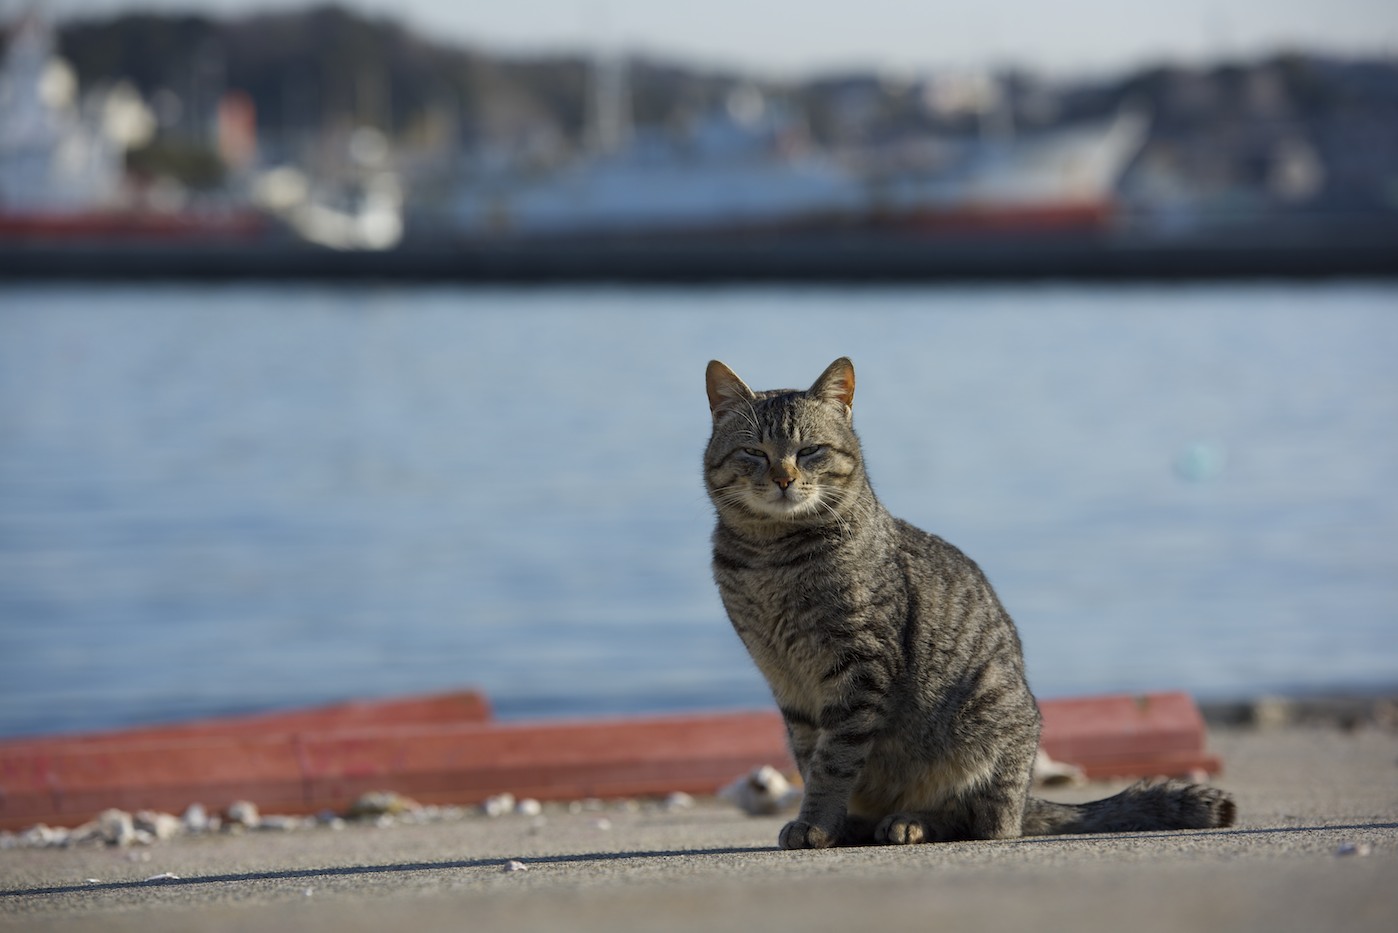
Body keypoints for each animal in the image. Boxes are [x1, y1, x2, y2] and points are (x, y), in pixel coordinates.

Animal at [704, 355, 1241, 844]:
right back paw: (863, 824)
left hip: (987, 718)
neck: (771, 557)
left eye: (810, 450)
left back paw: (910, 822)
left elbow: (833, 762)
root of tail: (1028, 797)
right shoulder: (788, 686)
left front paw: (816, 823)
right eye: (754, 452)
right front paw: (825, 822)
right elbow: (811, 756)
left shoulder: (860, 668)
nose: (783, 478)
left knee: (986, 824)